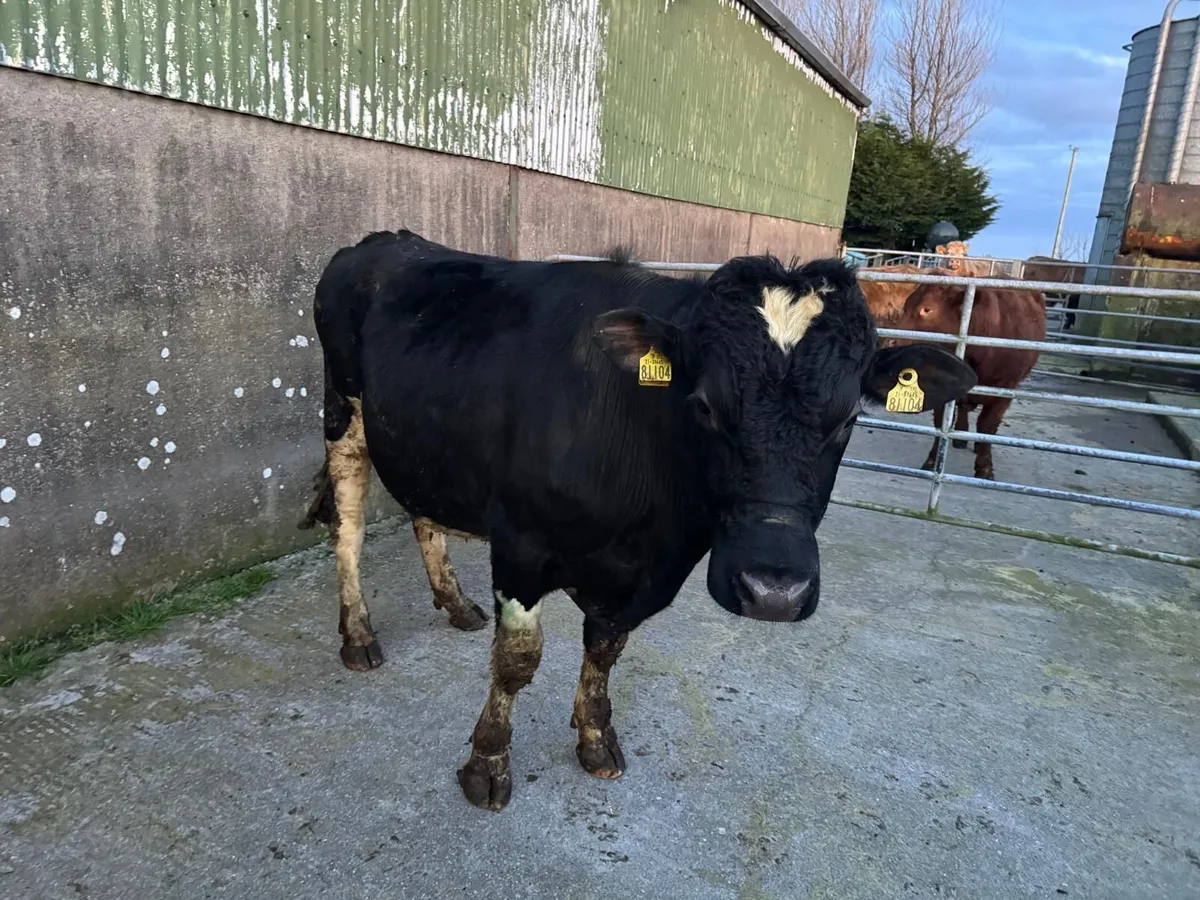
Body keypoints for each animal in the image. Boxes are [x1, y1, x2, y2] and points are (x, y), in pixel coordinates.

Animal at [301, 229, 977, 811]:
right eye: (703, 405)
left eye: (847, 420)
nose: (773, 592)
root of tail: (385, 240)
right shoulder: (520, 542)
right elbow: (518, 661)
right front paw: (487, 764)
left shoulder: (646, 572)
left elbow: (606, 648)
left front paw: (596, 737)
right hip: (343, 412)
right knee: (349, 526)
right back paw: (358, 635)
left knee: (423, 511)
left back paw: (455, 603)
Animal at [888, 280, 1046, 481]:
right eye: (905, 306)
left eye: (927, 309)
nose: (891, 342)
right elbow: (941, 423)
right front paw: (932, 461)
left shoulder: (1005, 389)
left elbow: (987, 427)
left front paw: (984, 468)